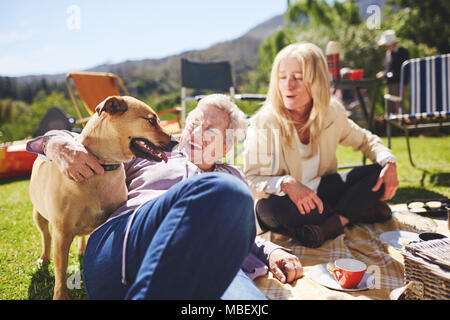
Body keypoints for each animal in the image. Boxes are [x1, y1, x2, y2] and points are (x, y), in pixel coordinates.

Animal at [28, 95, 178, 300]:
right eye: (151, 120)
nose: (176, 141)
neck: (103, 168)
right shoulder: (62, 233)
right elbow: (60, 273)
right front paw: (60, 295)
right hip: (39, 216)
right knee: (46, 236)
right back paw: (44, 257)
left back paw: (82, 249)